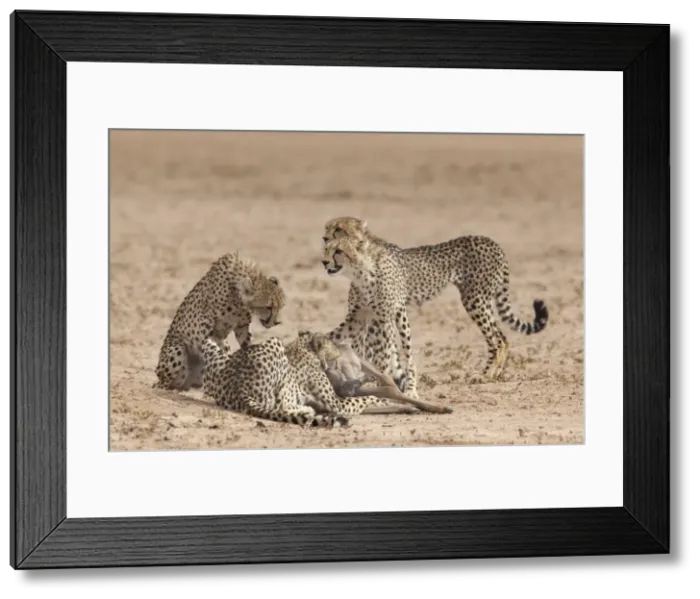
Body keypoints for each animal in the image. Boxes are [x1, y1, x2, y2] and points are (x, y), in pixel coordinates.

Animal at [153, 251, 286, 391]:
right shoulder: (205, 327)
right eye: (268, 307)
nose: (276, 322)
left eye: (280, 307)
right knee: (164, 383)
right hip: (177, 351)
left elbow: (246, 347)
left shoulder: (242, 327)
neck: (237, 296)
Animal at [321, 219, 549, 396]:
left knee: (496, 339)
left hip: (474, 299)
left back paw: (485, 375)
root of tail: (491, 242)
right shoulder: (360, 316)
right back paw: (493, 373)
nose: (324, 259)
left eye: (338, 232)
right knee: (502, 336)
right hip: (480, 300)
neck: (361, 271)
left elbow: (384, 353)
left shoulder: (387, 315)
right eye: (326, 246)